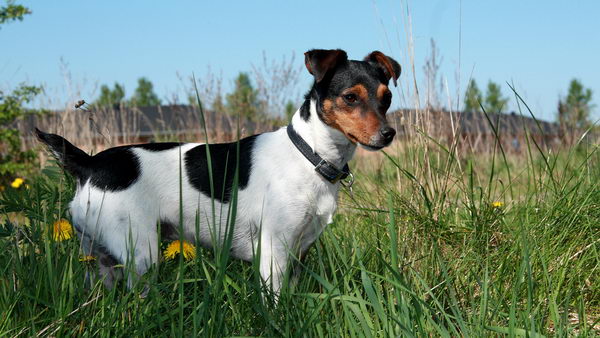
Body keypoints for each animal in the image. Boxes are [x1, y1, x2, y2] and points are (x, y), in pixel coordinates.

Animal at [38, 48, 404, 298]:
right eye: (350, 97)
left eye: (386, 98)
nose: (389, 134)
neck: (309, 156)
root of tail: (89, 163)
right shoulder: (273, 251)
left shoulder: (299, 252)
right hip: (140, 253)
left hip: (97, 258)